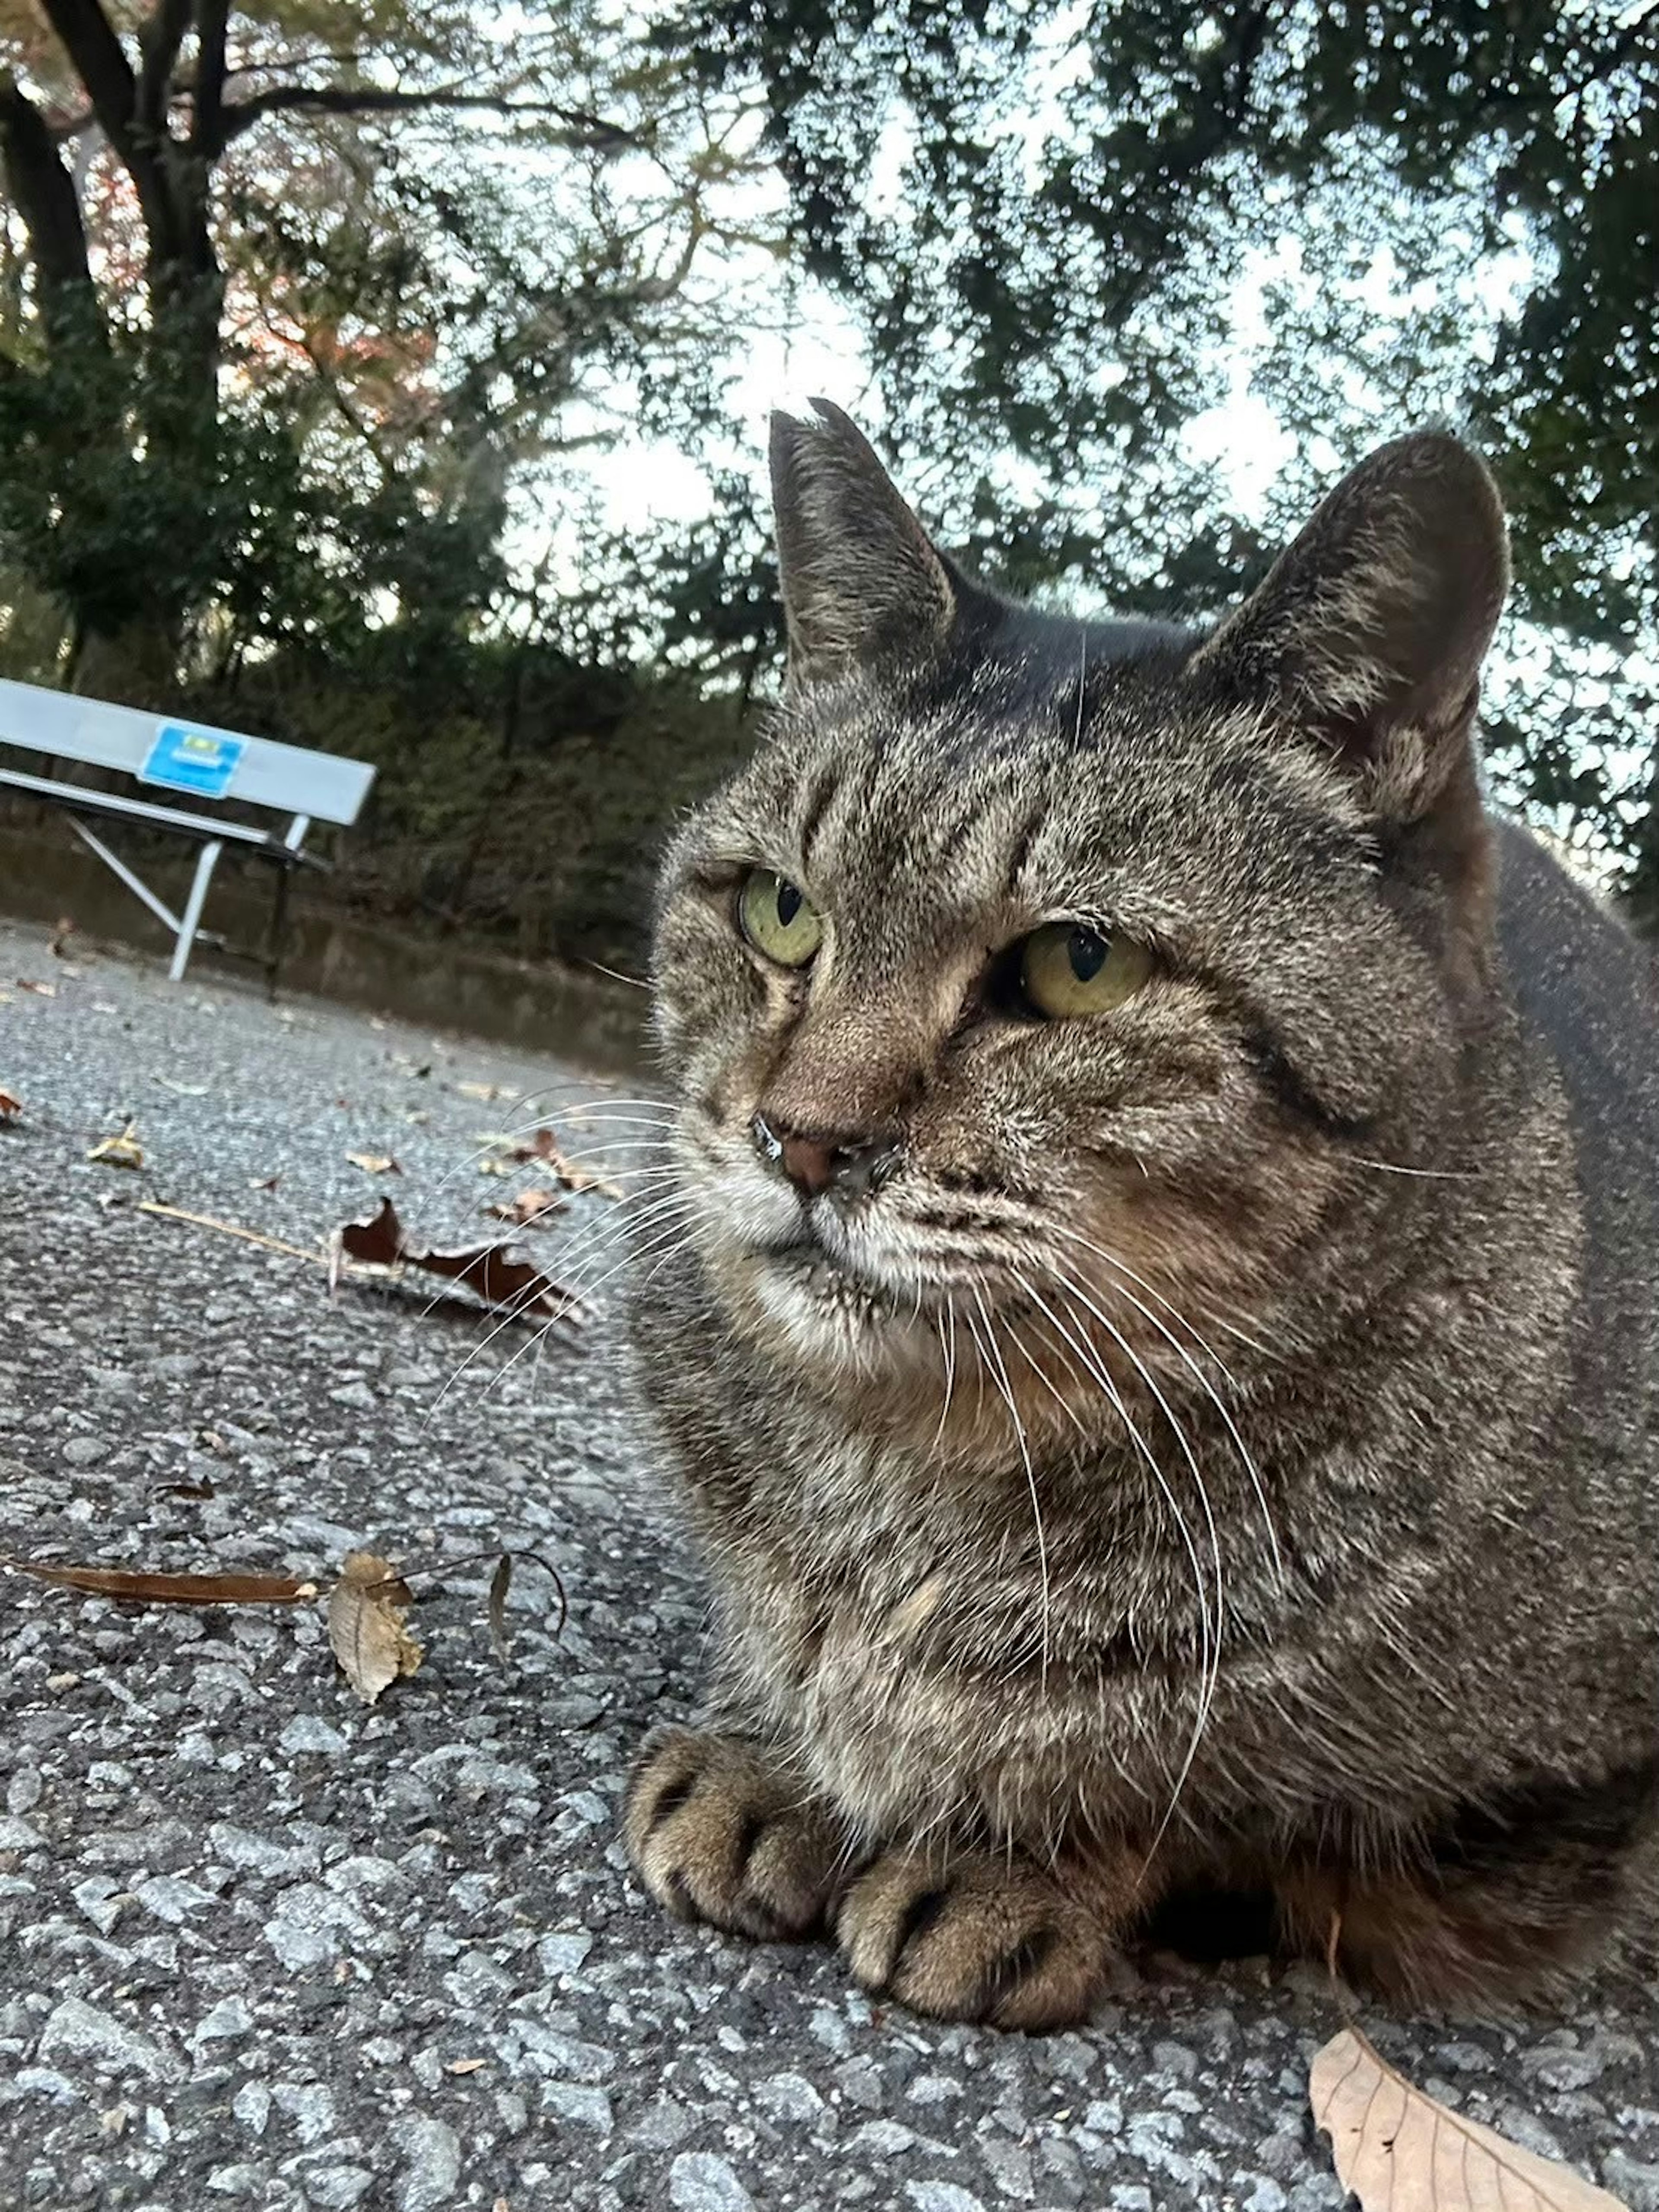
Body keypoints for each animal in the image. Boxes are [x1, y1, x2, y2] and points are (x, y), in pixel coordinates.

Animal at [623, 407, 1659, 2026]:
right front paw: (773, 1750)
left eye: (1079, 967)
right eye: (782, 912)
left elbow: (1216, 1794)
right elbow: (778, 1630)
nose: (801, 1141)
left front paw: (1013, 1863)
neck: (911, 1474)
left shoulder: (1553, 1814)